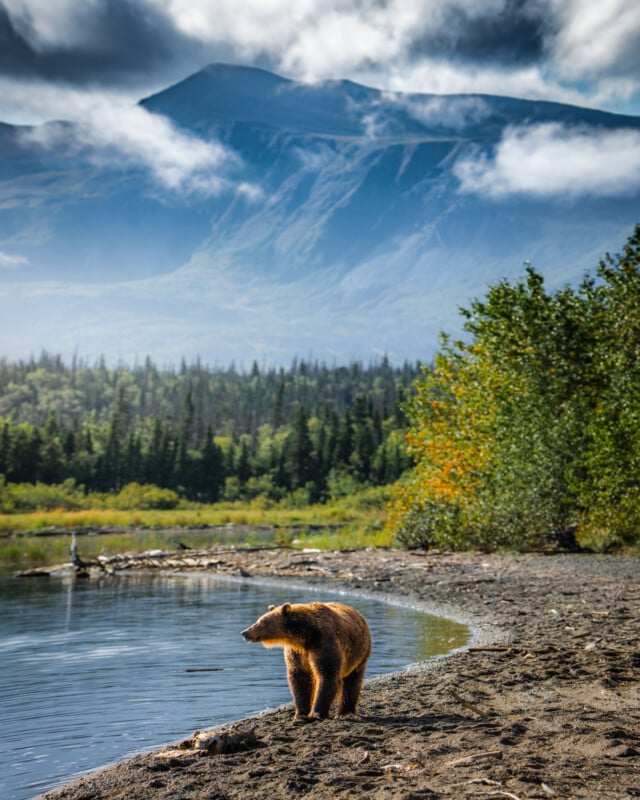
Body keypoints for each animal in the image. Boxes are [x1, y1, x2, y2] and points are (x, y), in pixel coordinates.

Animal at [241, 601, 371, 721]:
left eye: (261, 622)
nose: (244, 632)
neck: (306, 636)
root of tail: (359, 615)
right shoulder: (297, 653)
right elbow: (300, 679)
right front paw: (301, 713)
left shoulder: (324, 644)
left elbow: (327, 675)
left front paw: (316, 713)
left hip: (359, 652)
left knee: (353, 680)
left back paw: (345, 712)